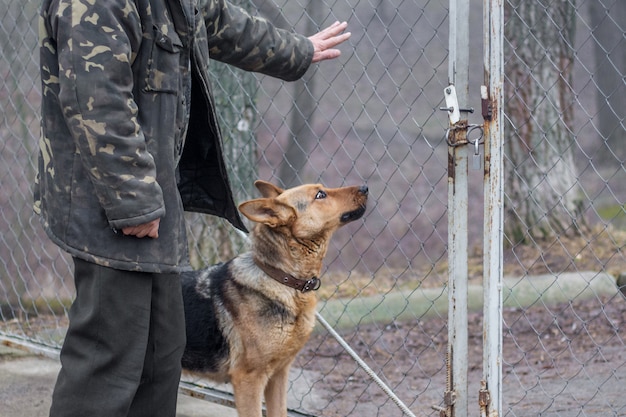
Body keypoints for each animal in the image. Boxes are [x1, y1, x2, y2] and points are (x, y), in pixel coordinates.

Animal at [180, 180, 366, 416]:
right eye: (320, 195)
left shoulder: (278, 375)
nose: (365, 187)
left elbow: (280, 411)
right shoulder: (249, 380)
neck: (283, 280)